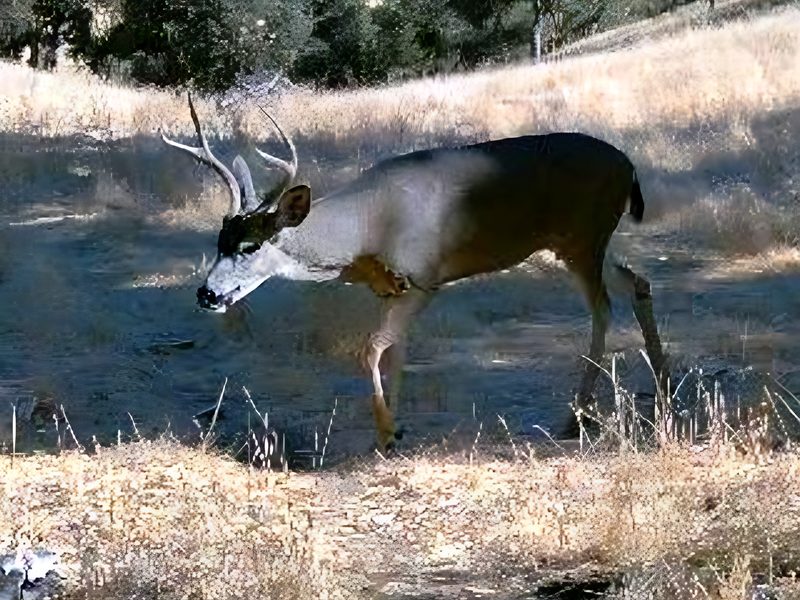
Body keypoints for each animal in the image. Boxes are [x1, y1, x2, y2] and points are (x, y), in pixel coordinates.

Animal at [162, 93, 669, 450]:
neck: (366, 230)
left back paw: (575, 417)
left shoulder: (425, 277)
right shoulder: (392, 289)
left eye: (250, 246)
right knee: (637, 282)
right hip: (584, 242)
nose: (207, 295)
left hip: (585, 236)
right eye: (219, 241)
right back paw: (662, 390)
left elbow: (372, 347)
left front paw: (387, 434)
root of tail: (629, 166)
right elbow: (395, 350)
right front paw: (397, 426)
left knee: (603, 307)